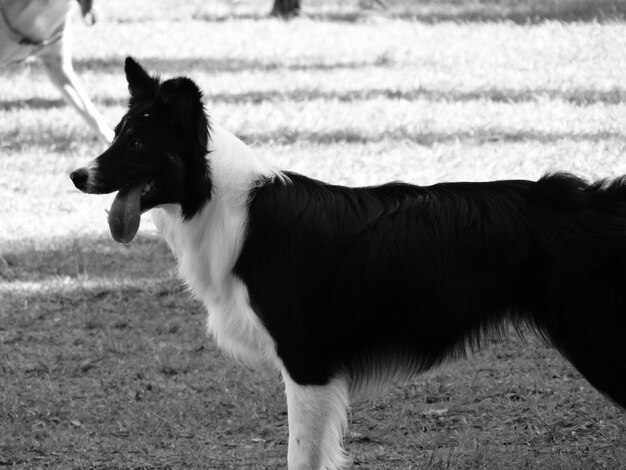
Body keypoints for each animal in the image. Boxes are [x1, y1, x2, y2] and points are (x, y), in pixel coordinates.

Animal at [70, 57, 624, 468]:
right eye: (116, 134)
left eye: (137, 142)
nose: (76, 175)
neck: (222, 203)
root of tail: (596, 200)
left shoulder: (306, 365)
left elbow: (300, 457)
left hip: (594, 338)